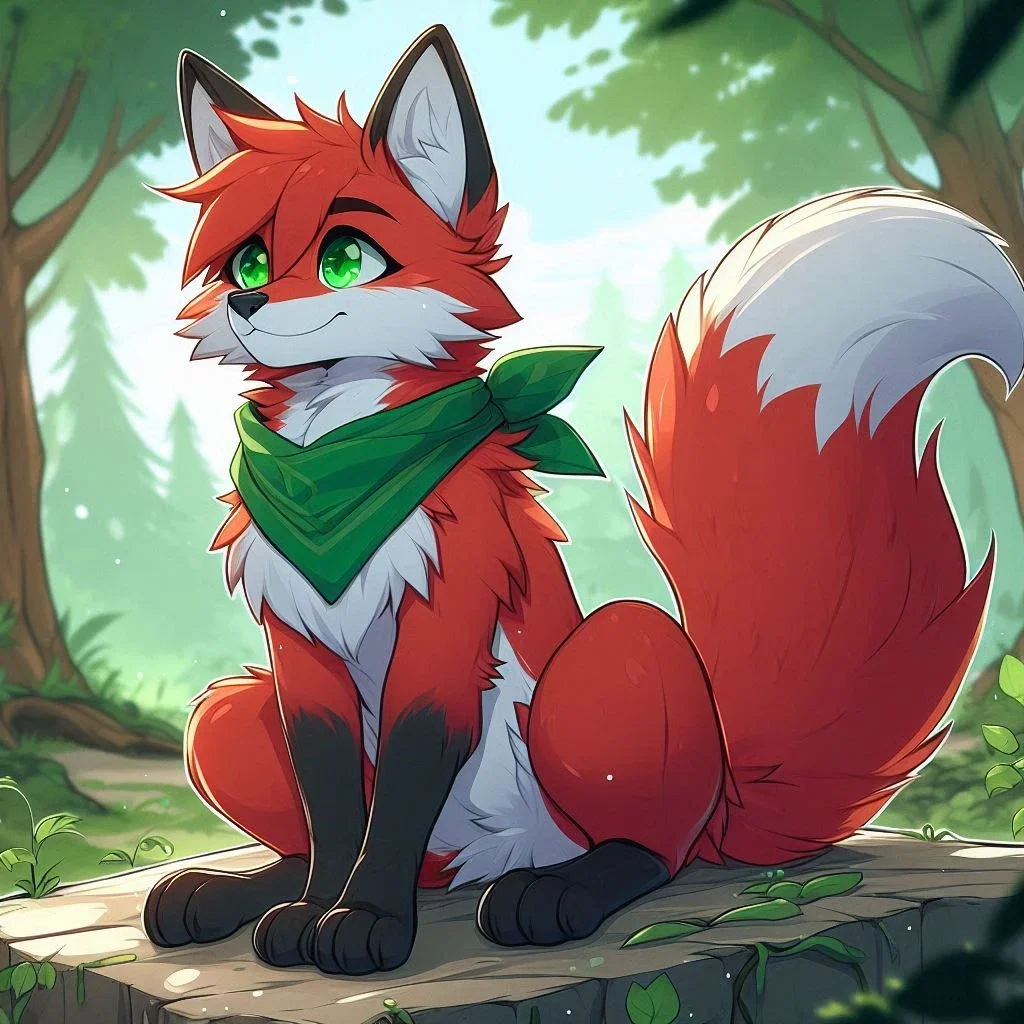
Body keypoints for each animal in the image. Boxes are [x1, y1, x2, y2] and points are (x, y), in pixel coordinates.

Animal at [144, 24, 1024, 977]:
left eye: (346, 259)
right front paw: (314, 911)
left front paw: (365, 919)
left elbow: (409, 770)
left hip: (617, 656)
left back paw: (555, 894)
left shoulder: (448, 618)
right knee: (328, 832)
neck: (335, 477)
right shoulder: (297, 650)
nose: (246, 299)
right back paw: (235, 891)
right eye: (249, 258)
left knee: (653, 851)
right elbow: (333, 798)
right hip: (227, 708)